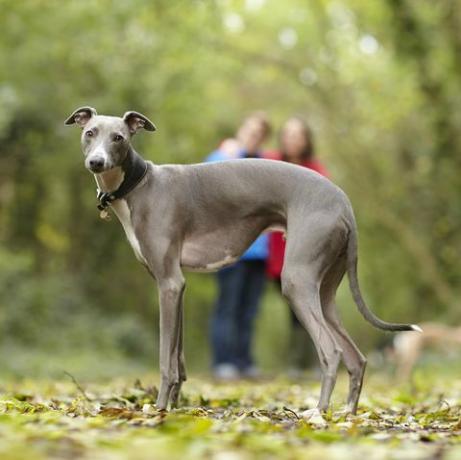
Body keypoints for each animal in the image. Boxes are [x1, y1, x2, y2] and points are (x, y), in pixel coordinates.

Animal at [65, 107, 420, 416]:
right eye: (89, 132)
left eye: (119, 137)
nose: (96, 162)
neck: (141, 185)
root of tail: (343, 203)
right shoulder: (177, 287)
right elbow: (179, 357)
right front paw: (177, 404)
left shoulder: (169, 283)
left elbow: (166, 359)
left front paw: (161, 407)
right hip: (325, 293)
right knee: (356, 358)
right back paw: (348, 413)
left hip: (297, 281)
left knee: (331, 352)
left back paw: (318, 412)